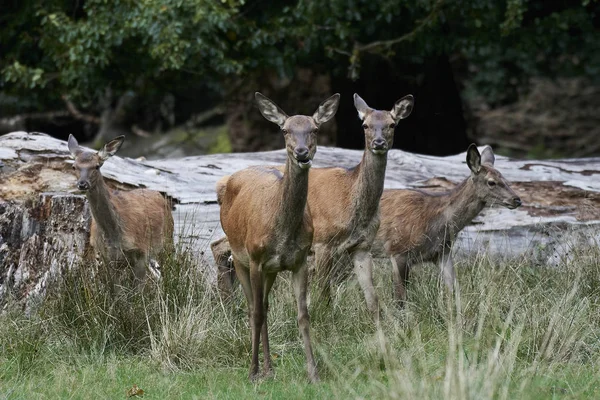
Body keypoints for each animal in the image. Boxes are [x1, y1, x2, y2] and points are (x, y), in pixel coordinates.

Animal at [69, 136, 176, 286]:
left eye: (97, 166)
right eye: (74, 166)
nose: (82, 184)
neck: (114, 236)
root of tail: (159, 195)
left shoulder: (140, 250)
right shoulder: (105, 256)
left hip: (167, 239)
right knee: (158, 274)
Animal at [219, 91, 342, 382]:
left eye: (315, 129)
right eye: (285, 130)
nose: (302, 152)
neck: (283, 231)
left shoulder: (299, 261)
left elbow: (303, 315)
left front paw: (313, 372)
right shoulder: (255, 258)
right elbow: (256, 313)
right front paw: (251, 372)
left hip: (272, 270)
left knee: (265, 305)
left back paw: (270, 368)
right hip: (239, 255)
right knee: (253, 307)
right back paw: (259, 368)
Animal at [376, 144, 520, 304]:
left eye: (505, 179)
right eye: (491, 182)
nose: (517, 199)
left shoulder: (443, 252)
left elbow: (454, 289)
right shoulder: (398, 250)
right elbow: (400, 299)